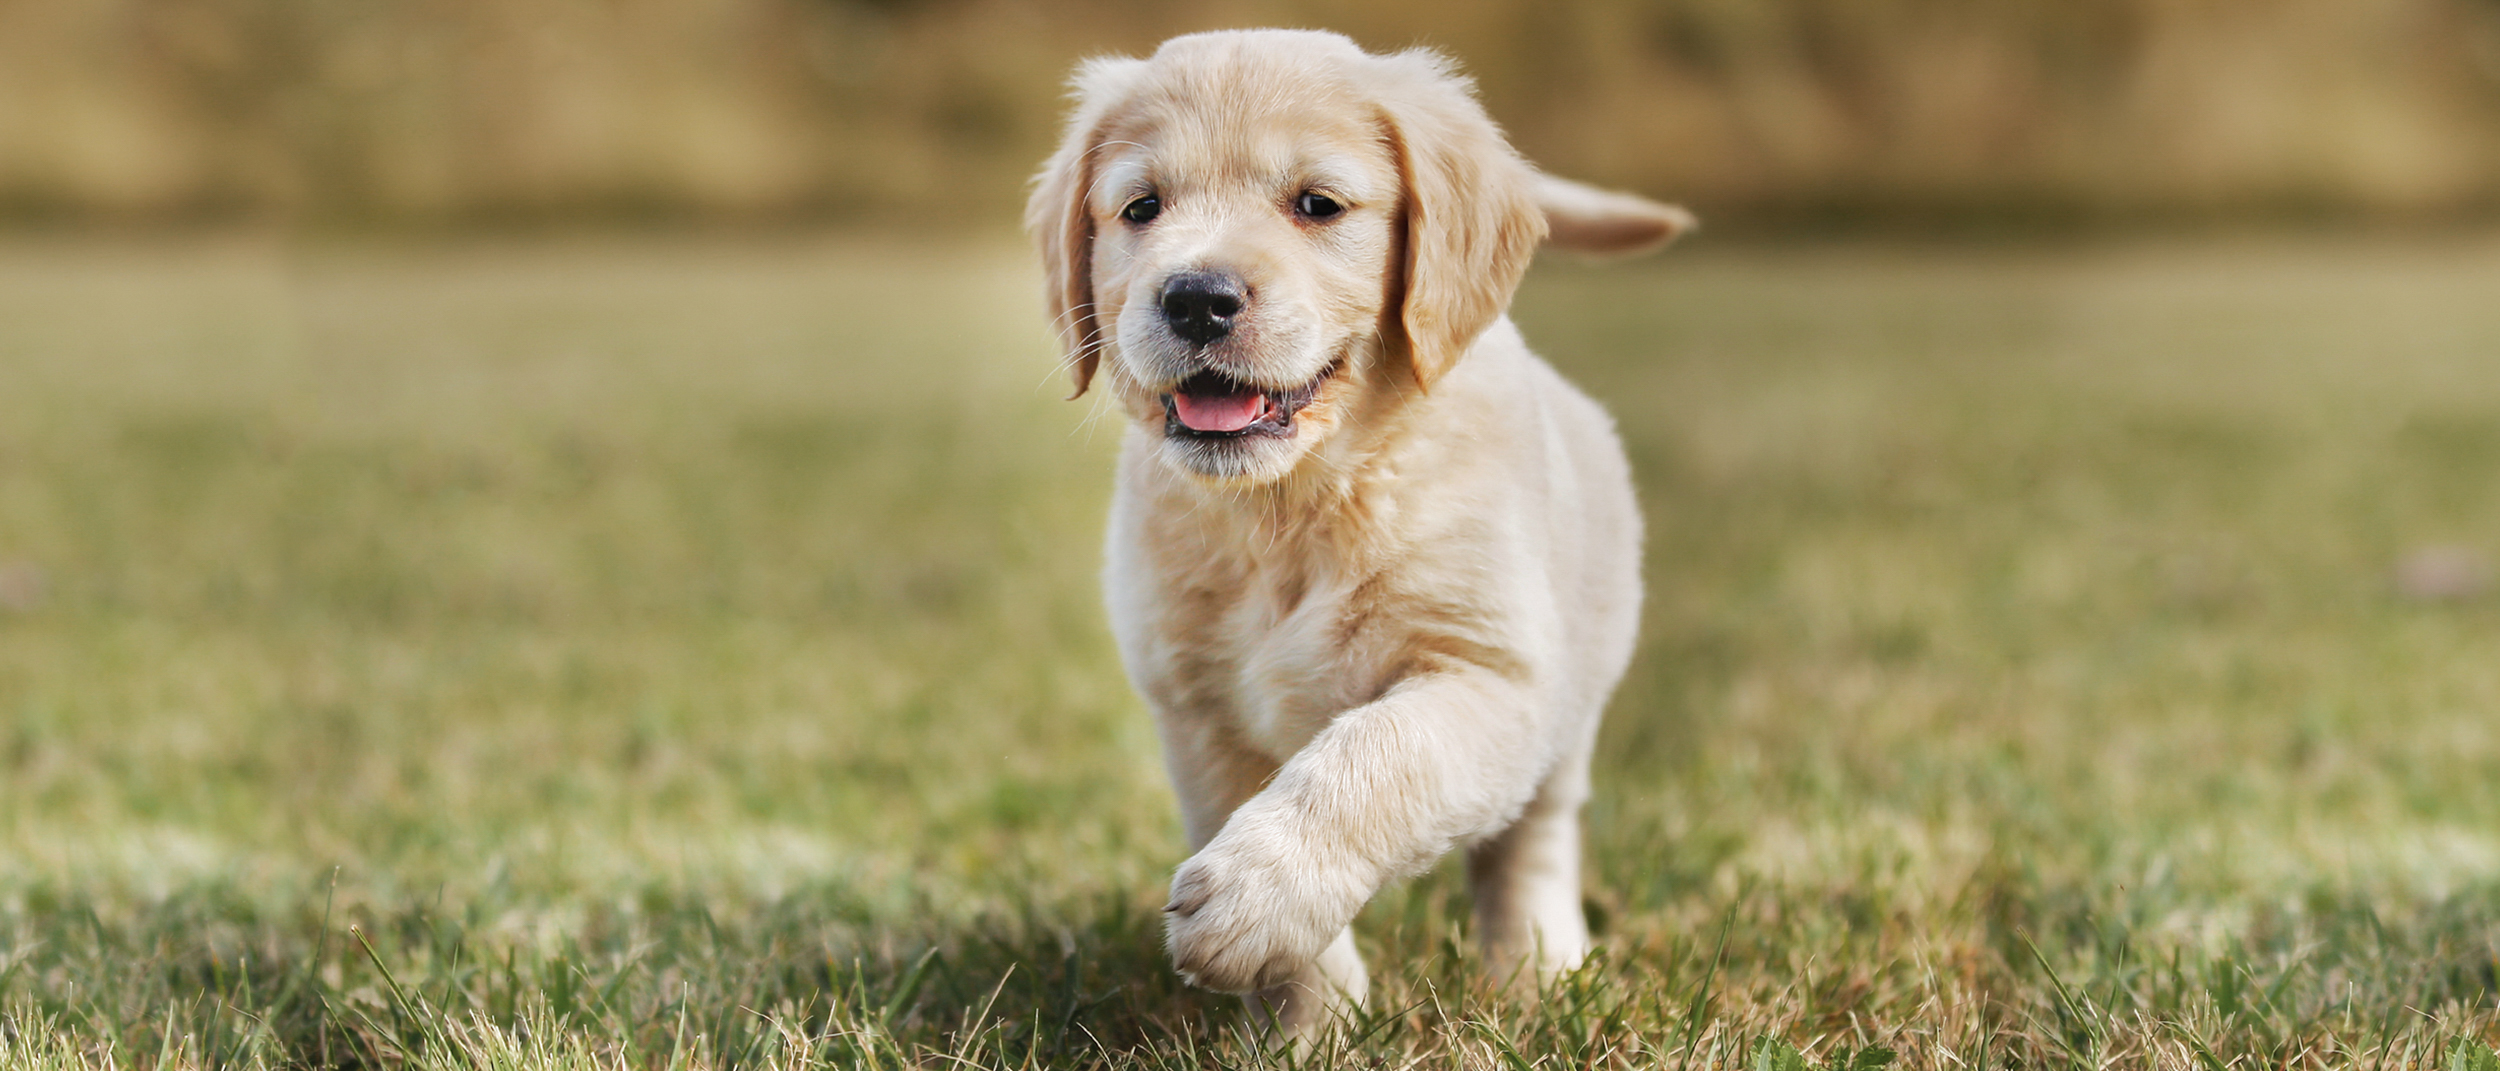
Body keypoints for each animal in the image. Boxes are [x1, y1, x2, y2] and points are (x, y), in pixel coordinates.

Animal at [1025, 29, 1690, 1035]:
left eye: (1317, 204)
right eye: (1140, 207)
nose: (1196, 298)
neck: (1294, 506)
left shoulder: (1489, 675)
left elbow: (1374, 756)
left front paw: (1254, 896)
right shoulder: (1201, 715)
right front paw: (1310, 1022)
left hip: (1570, 703)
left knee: (1531, 844)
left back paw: (1537, 971)